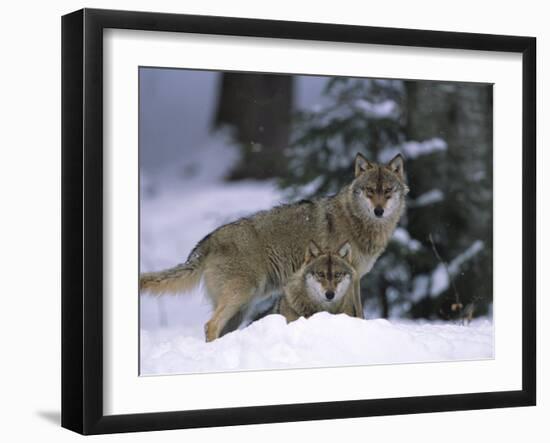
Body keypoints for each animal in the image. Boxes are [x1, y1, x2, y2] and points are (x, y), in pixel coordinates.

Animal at [142, 153, 410, 344]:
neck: (357, 222)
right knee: (210, 326)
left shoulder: (354, 279)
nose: (379, 211)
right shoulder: (351, 278)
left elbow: (358, 312)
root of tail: (206, 242)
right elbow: (357, 312)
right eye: (370, 191)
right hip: (240, 297)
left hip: (241, 308)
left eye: (387, 191)